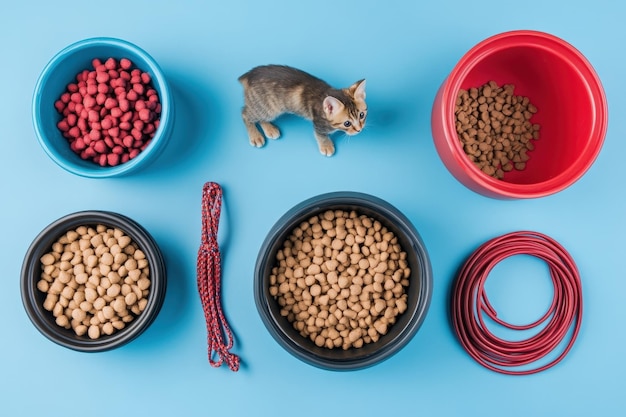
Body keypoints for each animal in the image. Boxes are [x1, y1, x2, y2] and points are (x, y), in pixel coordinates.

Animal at [238, 65, 366, 156]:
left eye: (362, 115)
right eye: (347, 123)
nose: (359, 130)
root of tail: (250, 74)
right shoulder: (318, 122)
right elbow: (320, 134)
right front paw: (326, 146)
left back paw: (270, 129)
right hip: (269, 107)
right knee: (245, 113)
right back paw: (255, 136)